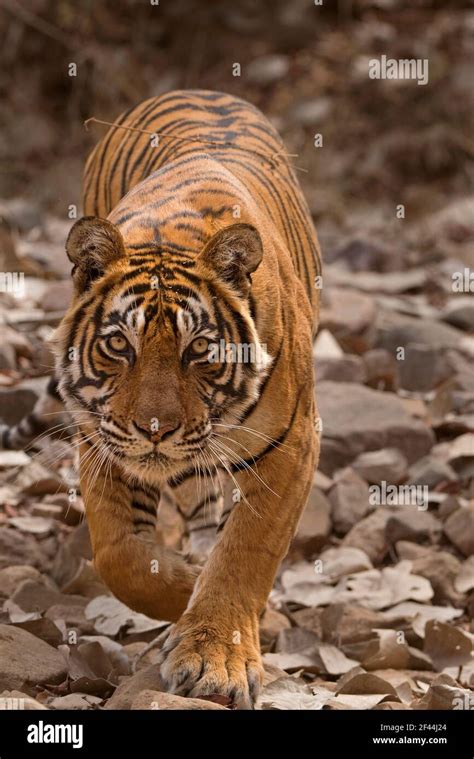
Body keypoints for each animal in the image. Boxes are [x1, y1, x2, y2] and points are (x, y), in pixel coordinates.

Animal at [2, 90, 321, 708]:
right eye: (118, 345)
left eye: (198, 348)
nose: (155, 429)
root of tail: (198, 89)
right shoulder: (102, 438)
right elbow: (120, 556)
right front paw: (186, 584)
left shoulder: (290, 447)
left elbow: (245, 551)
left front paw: (215, 656)